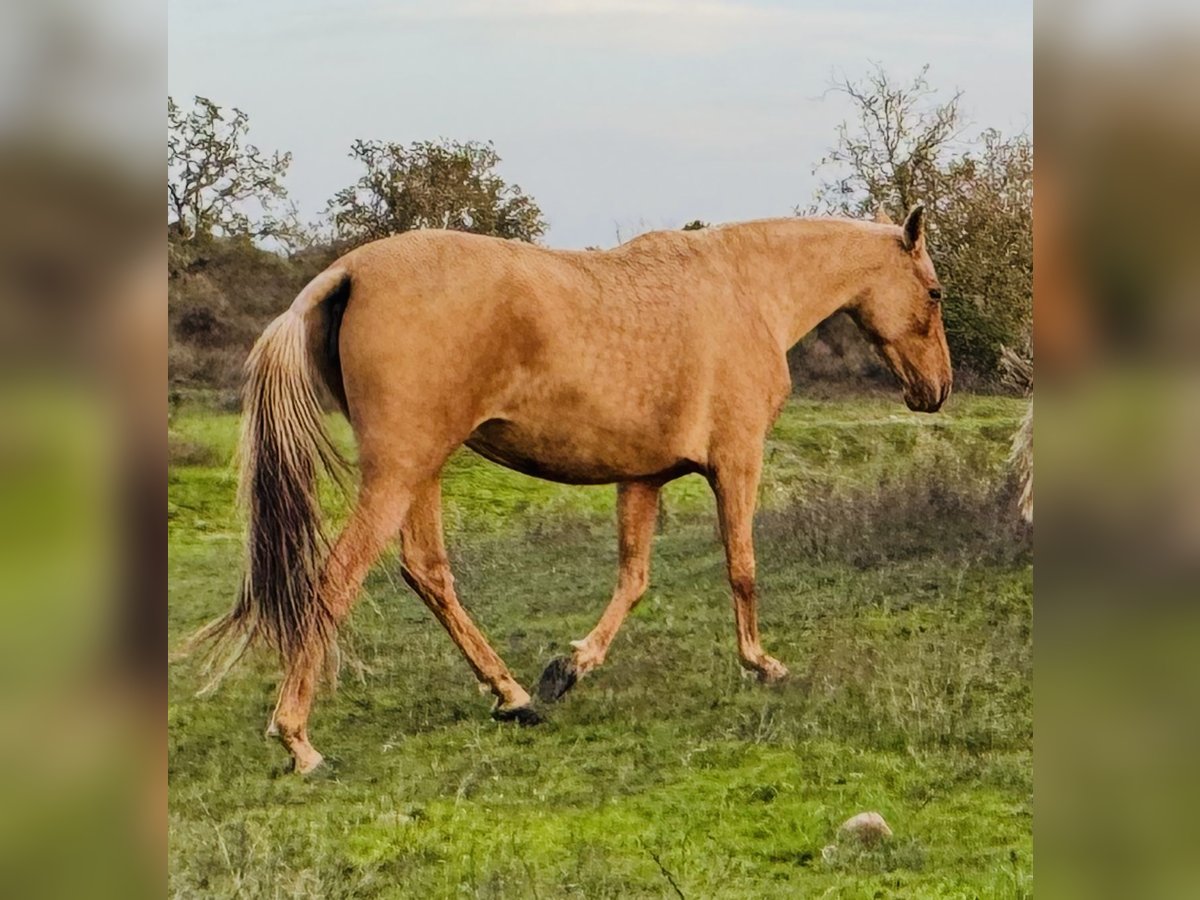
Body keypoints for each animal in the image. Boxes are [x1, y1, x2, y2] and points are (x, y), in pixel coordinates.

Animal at [196, 204, 950, 777]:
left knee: (427, 572)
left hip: (421, 473)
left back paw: (514, 696)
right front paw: (761, 663)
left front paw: (571, 668)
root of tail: (349, 271)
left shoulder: (642, 478)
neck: (745, 289)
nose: (936, 390)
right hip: (399, 473)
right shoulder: (737, 462)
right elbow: (742, 567)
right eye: (936, 293)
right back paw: (299, 739)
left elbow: (633, 578)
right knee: (337, 579)